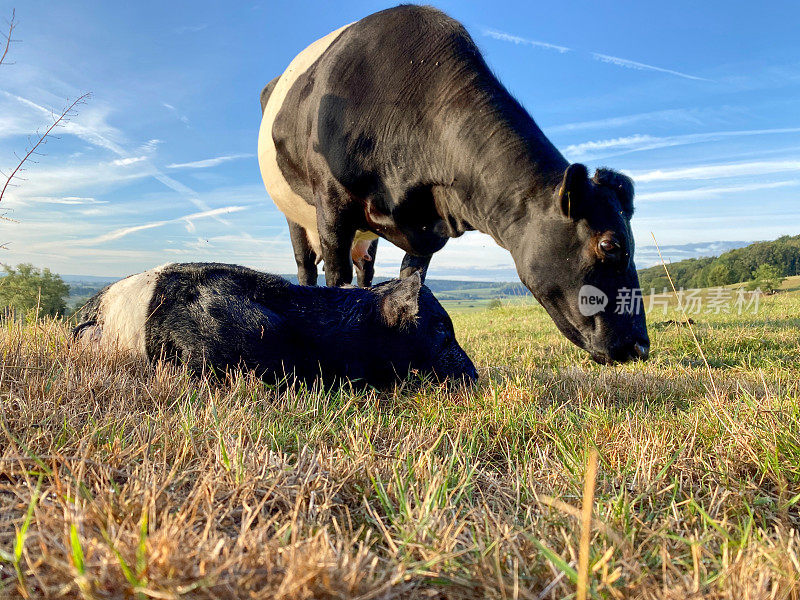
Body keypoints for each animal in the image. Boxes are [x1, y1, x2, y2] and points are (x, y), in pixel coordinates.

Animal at [260, 4, 648, 364]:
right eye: (610, 245)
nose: (641, 346)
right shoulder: (333, 203)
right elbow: (335, 279)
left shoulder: (430, 229)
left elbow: (412, 283)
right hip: (295, 214)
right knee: (306, 268)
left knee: (365, 271)